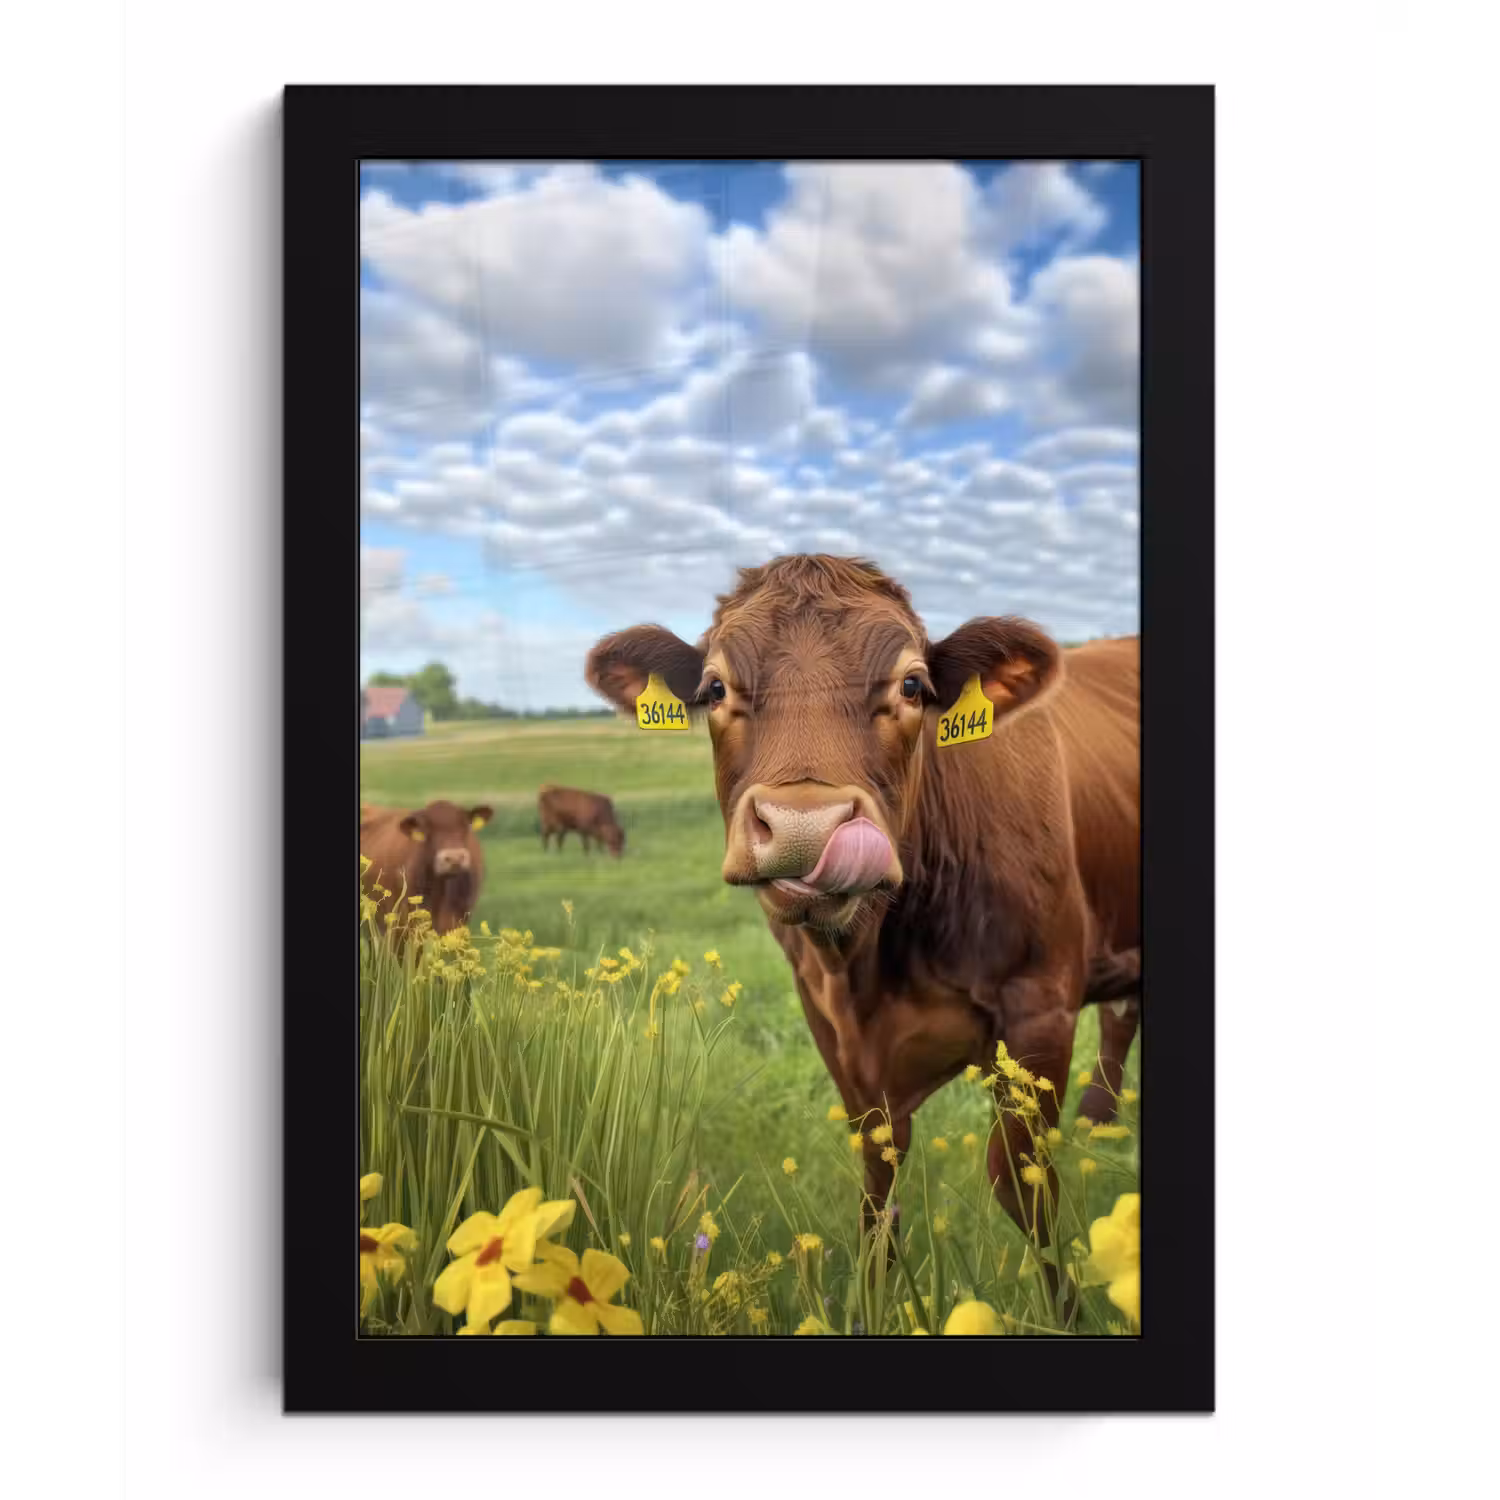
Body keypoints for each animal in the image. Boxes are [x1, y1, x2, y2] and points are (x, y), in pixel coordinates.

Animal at [585, 555, 1139, 1256]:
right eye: (713, 688)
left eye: (913, 685)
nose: (806, 827)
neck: (870, 964)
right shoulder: (830, 1021)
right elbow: (879, 1181)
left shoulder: (1040, 1008)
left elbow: (1023, 1184)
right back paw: (1100, 1121)